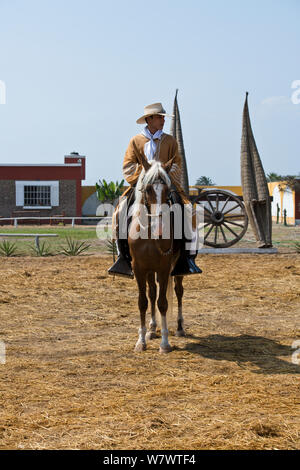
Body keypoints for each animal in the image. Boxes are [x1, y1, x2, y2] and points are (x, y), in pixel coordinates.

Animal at [128, 159, 185, 352]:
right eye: (147, 189)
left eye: (168, 190)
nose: (159, 228)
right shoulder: (139, 268)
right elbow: (143, 301)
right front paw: (141, 341)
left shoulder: (164, 268)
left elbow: (163, 303)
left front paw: (165, 344)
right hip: (149, 271)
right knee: (152, 293)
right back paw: (152, 330)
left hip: (176, 270)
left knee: (179, 291)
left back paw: (180, 328)